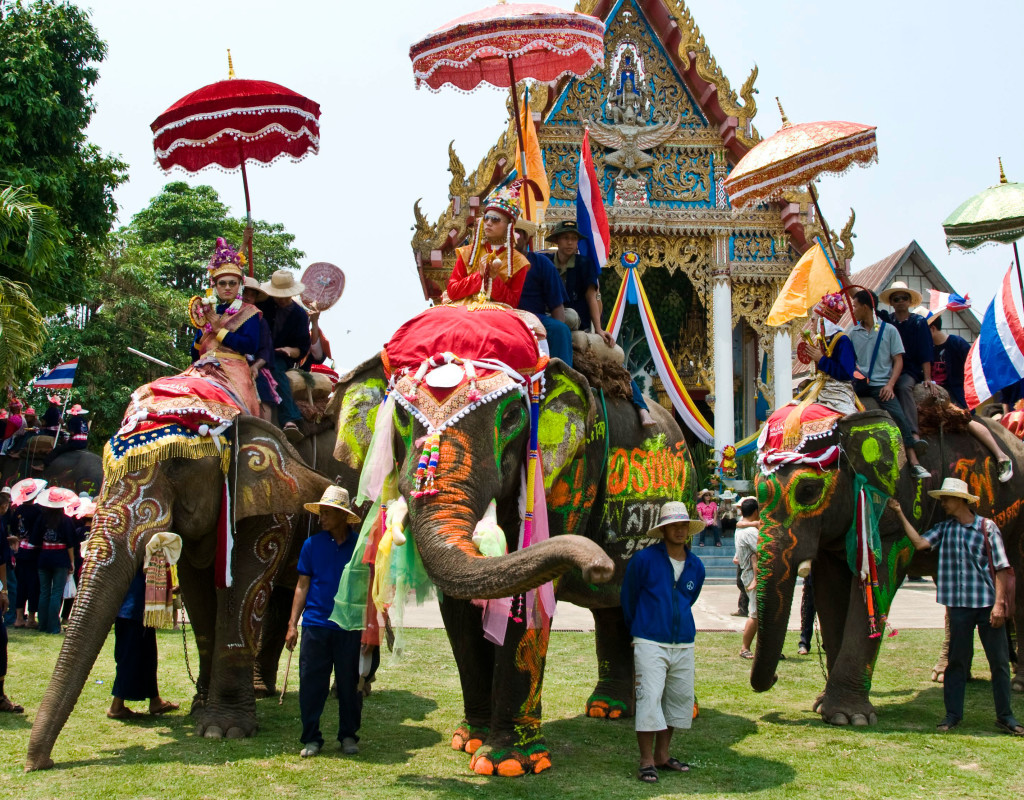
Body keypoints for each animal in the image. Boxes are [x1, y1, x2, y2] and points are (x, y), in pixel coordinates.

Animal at [27, 415, 331, 770]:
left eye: (177, 464)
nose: (39, 763)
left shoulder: (272, 508)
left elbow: (244, 587)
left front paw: (223, 731)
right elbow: (197, 591)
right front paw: (199, 710)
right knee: (281, 600)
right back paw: (260, 691)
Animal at [329, 303, 696, 770]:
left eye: (511, 417)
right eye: (399, 417)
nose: (595, 563)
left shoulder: (573, 468)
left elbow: (529, 589)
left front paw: (505, 763)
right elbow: (459, 606)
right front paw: (467, 741)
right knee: (612, 604)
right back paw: (608, 709)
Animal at [749, 405, 1019, 725]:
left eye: (808, 491)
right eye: (757, 492)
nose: (775, 677)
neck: (845, 420)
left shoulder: (894, 510)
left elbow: (877, 581)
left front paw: (848, 717)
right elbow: (830, 595)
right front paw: (824, 707)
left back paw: (1016, 684)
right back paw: (946, 675)